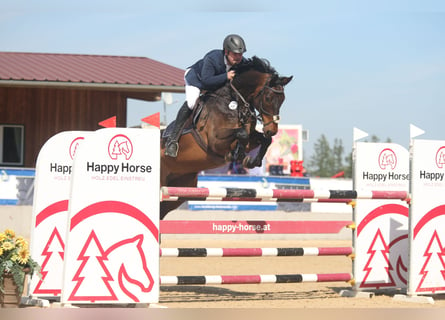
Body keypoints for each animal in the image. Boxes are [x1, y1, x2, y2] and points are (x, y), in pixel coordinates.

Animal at [160, 56, 292, 219]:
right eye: (267, 98)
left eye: (283, 99)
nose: (272, 130)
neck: (234, 103)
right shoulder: (214, 141)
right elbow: (242, 133)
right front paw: (237, 154)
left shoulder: (252, 136)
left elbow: (263, 140)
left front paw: (250, 161)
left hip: (180, 188)